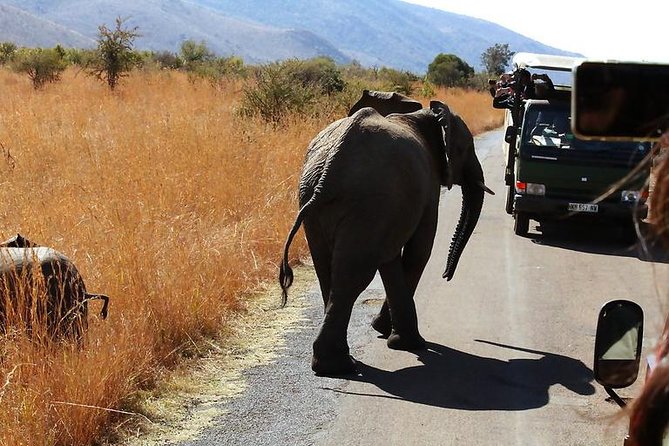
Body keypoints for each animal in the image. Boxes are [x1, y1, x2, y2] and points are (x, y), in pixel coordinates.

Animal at [276, 93, 490, 376]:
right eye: (465, 148)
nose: (446, 276)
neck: (423, 115)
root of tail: (329, 170)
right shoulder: (427, 187)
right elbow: (419, 252)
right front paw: (408, 343)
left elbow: (391, 258)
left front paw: (387, 333)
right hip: (367, 200)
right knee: (353, 276)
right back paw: (340, 366)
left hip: (316, 198)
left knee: (328, 271)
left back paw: (335, 363)